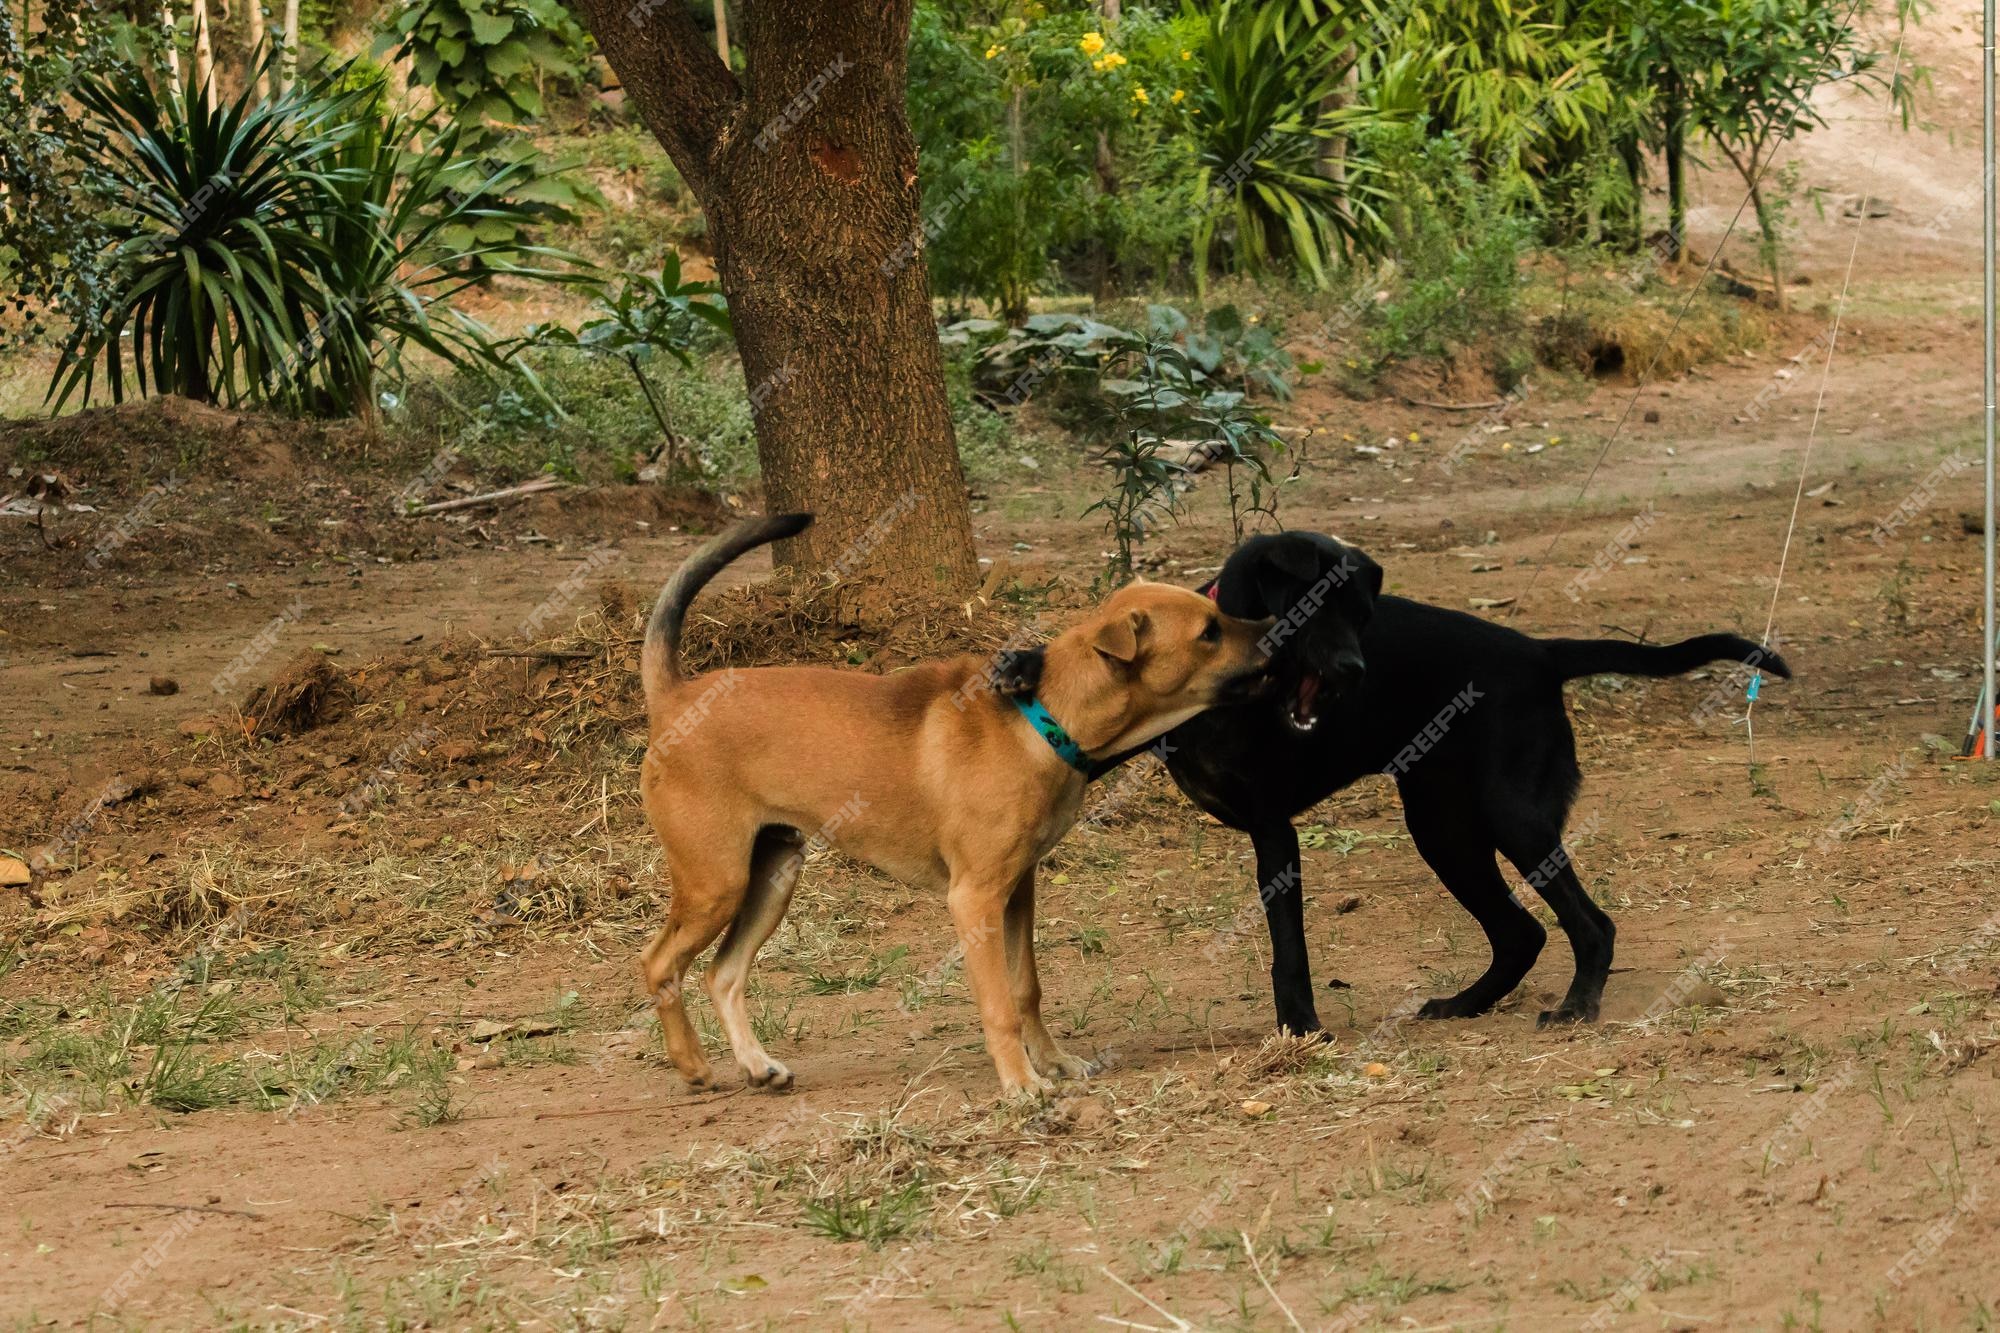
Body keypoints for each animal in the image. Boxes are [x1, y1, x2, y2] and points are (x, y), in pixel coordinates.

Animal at [632, 510, 1272, 1088]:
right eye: (1209, 631)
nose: (1272, 625)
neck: (1042, 717)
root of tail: (674, 696)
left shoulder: (1017, 890)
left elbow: (1025, 988)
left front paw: (1053, 1063)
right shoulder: (974, 899)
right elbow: (998, 1005)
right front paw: (1020, 1084)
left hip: (772, 875)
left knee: (722, 974)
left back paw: (757, 1066)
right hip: (716, 881)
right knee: (659, 963)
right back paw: (693, 1066)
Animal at [1008, 536, 1792, 1032]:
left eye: (1363, 617)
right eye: (1320, 611)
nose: (1356, 672)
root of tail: (1541, 653)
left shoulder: (1274, 830)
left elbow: (1289, 949)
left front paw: (1301, 1026)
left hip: (1510, 818)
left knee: (1589, 924)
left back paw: (1576, 1007)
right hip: (1445, 831)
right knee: (1522, 932)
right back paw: (1466, 1004)